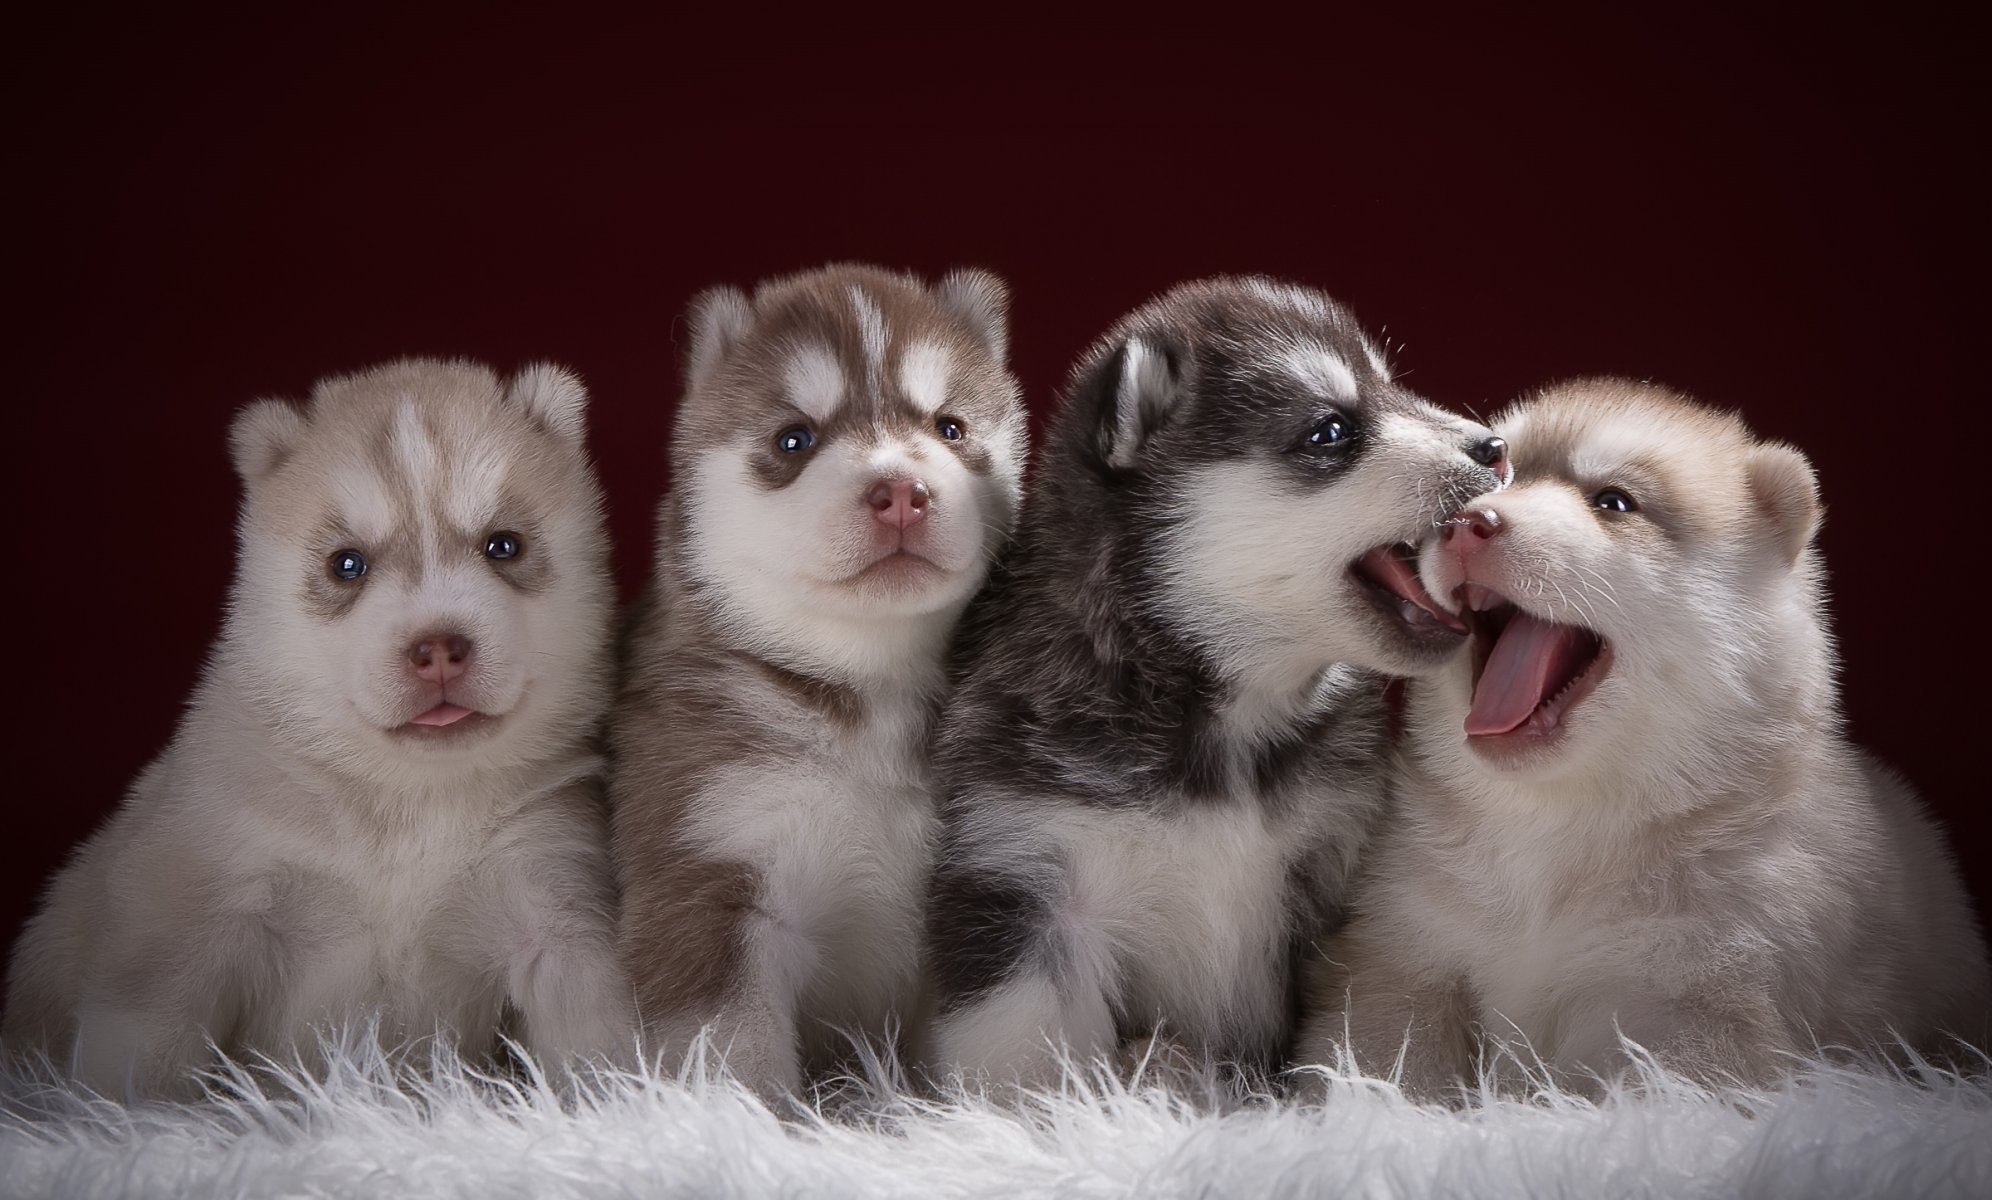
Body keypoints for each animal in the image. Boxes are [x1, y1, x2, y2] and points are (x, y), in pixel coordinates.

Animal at [0, 358, 633, 1100]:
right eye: (346, 564)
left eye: (503, 546)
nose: (439, 648)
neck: (409, 800)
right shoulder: (187, 911)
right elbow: (140, 1059)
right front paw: (122, 1121)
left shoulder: (554, 907)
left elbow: (597, 1048)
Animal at [613, 261, 1027, 1092]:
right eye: (793, 439)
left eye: (950, 428)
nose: (901, 493)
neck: (873, 690)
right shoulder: (709, 867)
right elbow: (734, 1053)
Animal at [1298, 376, 1984, 1092]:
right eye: (1494, 479)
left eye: (1614, 502)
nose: (1467, 523)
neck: (1555, 825)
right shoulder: (1402, 956)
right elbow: (1387, 1059)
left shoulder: (1696, 999)